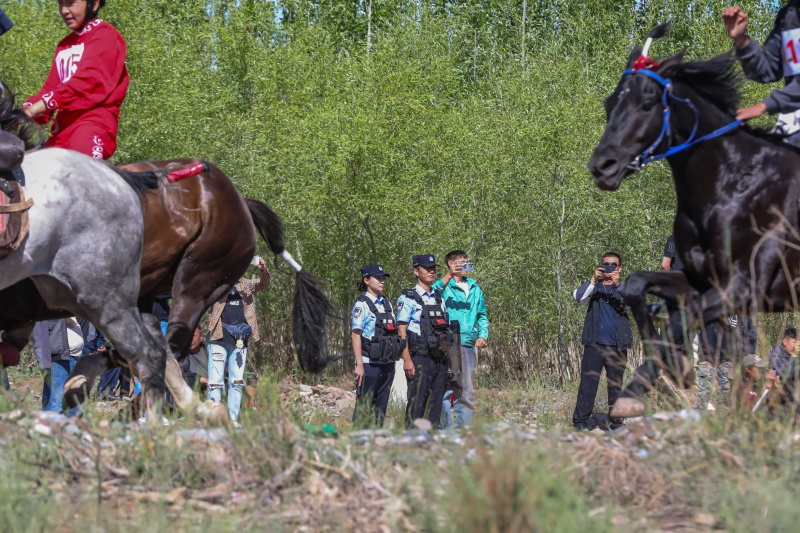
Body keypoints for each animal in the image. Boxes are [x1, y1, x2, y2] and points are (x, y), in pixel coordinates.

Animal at [588, 30, 800, 417]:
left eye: (647, 104)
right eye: (611, 104)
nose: (602, 166)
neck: (731, 180)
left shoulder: (743, 288)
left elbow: (684, 319)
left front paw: (643, 387)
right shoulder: (700, 280)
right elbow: (636, 285)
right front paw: (675, 368)